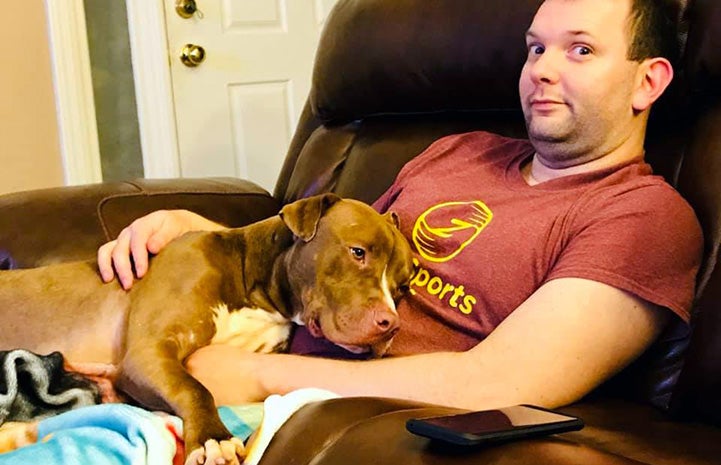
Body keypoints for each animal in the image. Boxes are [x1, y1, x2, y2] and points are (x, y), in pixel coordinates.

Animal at [0, 193, 414, 464]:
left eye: (404, 284)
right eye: (358, 252)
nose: (391, 324)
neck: (252, 279)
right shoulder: (149, 351)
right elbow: (194, 387)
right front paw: (214, 439)